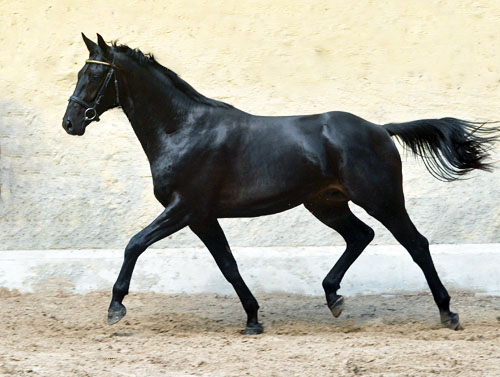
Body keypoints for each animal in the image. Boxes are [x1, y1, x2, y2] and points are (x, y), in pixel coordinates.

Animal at [62, 34, 496, 332]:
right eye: (81, 72)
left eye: (96, 73)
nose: (71, 123)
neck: (184, 129)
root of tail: (380, 129)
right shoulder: (201, 217)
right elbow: (228, 264)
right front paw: (253, 319)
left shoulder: (184, 208)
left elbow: (135, 244)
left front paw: (115, 307)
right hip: (327, 203)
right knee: (360, 236)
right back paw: (333, 296)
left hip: (382, 200)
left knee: (416, 244)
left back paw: (448, 312)